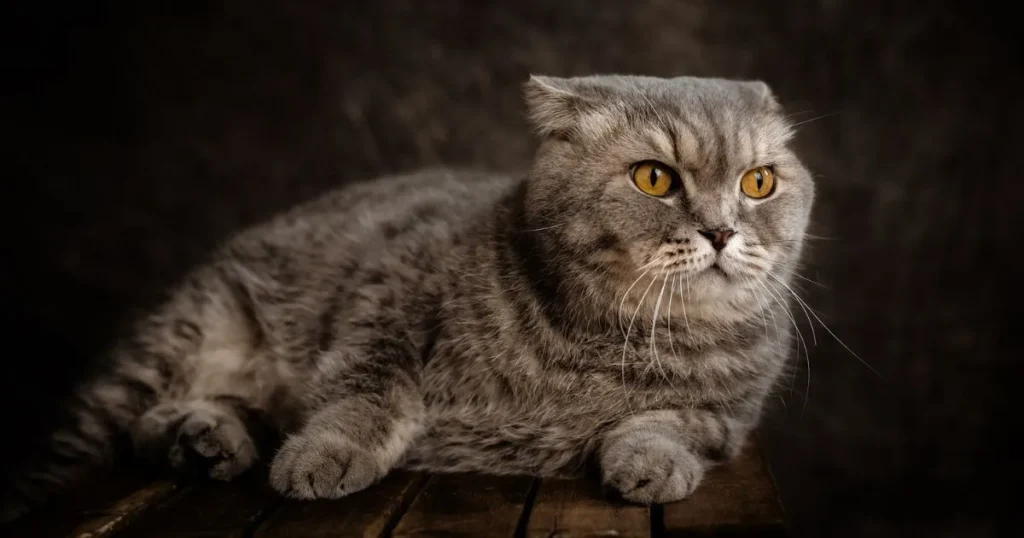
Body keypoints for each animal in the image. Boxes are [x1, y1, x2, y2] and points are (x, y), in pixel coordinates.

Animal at [2, 73, 815, 518]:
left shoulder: (727, 419)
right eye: (654, 178)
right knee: (94, 445)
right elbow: (370, 393)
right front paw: (324, 454)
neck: (608, 342)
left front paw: (651, 462)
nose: (721, 230)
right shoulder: (385, 296)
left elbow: (669, 424)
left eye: (758, 182)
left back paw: (207, 440)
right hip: (170, 346)